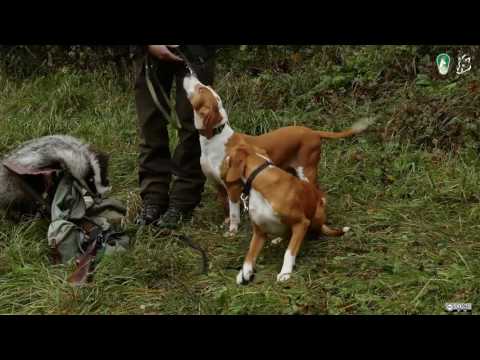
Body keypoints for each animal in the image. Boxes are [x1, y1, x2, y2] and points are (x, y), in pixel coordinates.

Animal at [221, 141, 348, 284]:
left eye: (228, 155)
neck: (260, 180)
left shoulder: (301, 223)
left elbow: (289, 252)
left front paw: (285, 272)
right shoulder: (259, 232)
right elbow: (249, 255)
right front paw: (244, 273)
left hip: (316, 216)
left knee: (312, 231)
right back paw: (278, 239)